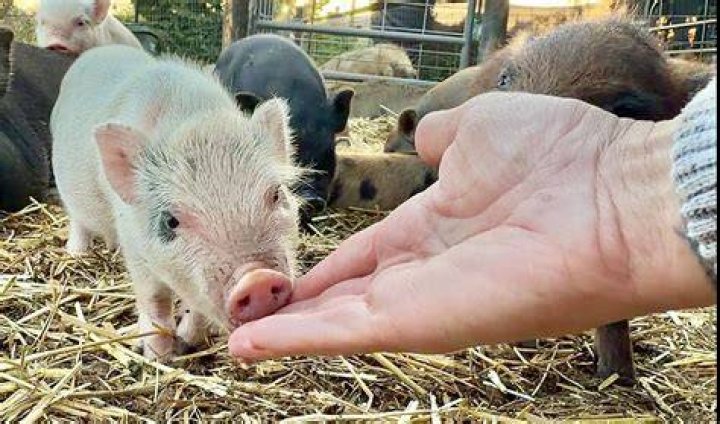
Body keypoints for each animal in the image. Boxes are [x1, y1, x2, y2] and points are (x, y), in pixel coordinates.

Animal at [51, 44, 301, 361]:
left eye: (276, 194)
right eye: (171, 221)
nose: (257, 278)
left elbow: (197, 310)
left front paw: (188, 342)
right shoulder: (135, 248)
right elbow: (155, 302)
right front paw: (159, 358)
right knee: (77, 221)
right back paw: (75, 253)